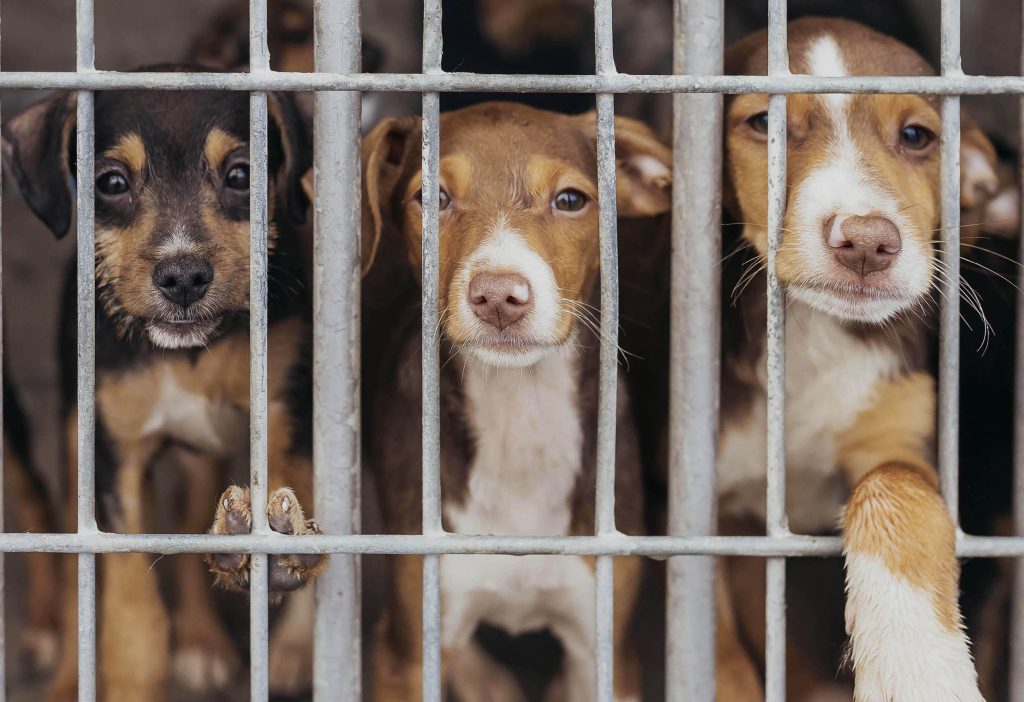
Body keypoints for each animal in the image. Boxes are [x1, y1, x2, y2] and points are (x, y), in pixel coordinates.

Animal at [2, 72, 324, 700]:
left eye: (242, 175)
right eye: (111, 183)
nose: (183, 277)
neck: (191, 354)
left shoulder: (285, 410)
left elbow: (287, 491)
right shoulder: (115, 459)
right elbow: (131, 614)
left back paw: (202, 641)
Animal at [361, 101, 671, 701]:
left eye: (571, 200)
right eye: (431, 197)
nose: (499, 296)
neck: (519, 412)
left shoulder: (604, 653)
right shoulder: (404, 652)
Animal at [714, 17, 1001, 701]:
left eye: (918, 136)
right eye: (763, 124)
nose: (867, 242)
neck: (810, 333)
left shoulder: (898, 438)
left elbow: (897, 497)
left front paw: (920, 665)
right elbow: (709, 639)